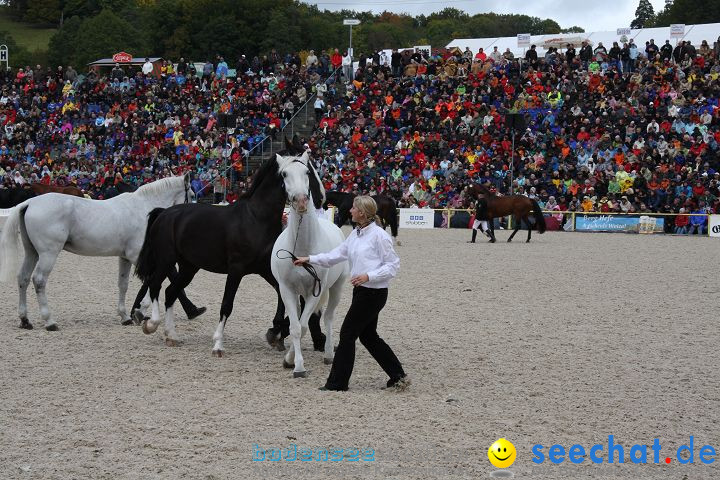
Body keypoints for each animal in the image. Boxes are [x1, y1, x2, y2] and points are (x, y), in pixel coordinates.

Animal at [0, 175, 195, 330]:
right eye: (192, 195)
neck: (143, 208)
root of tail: (29, 202)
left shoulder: (125, 257)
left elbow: (123, 284)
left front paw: (125, 317)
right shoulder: (137, 256)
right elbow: (151, 280)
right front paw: (140, 311)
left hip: (32, 252)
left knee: (23, 278)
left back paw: (25, 320)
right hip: (48, 254)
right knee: (39, 280)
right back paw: (50, 321)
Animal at [134, 139, 324, 356]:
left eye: (307, 171)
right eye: (284, 174)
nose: (305, 201)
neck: (256, 219)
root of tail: (164, 213)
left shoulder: (265, 270)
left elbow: (282, 296)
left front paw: (275, 333)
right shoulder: (236, 269)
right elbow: (227, 305)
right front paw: (218, 344)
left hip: (189, 267)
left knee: (170, 292)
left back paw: (171, 335)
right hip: (166, 260)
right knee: (155, 285)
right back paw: (151, 324)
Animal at [270, 156, 348, 376]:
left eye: (307, 172)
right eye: (284, 174)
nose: (301, 201)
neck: (302, 249)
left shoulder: (315, 291)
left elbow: (304, 326)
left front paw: (296, 364)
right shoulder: (287, 290)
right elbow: (296, 327)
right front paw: (293, 363)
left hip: (336, 287)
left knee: (328, 317)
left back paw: (329, 354)